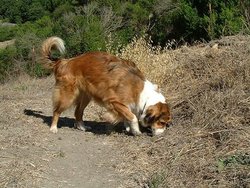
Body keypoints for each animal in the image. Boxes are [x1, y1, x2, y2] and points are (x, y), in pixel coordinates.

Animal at [41, 36, 172, 136]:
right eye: (161, 122)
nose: (162, 134)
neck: (141, 92)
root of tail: (65, 61)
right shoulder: (114, 101)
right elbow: (132, 116)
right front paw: (136, 130)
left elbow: (127, 115)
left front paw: (128, 127)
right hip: (67, 96)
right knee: (56, 111)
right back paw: (53, 127)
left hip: (86, 96)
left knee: (78, 112)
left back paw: (82, 127)